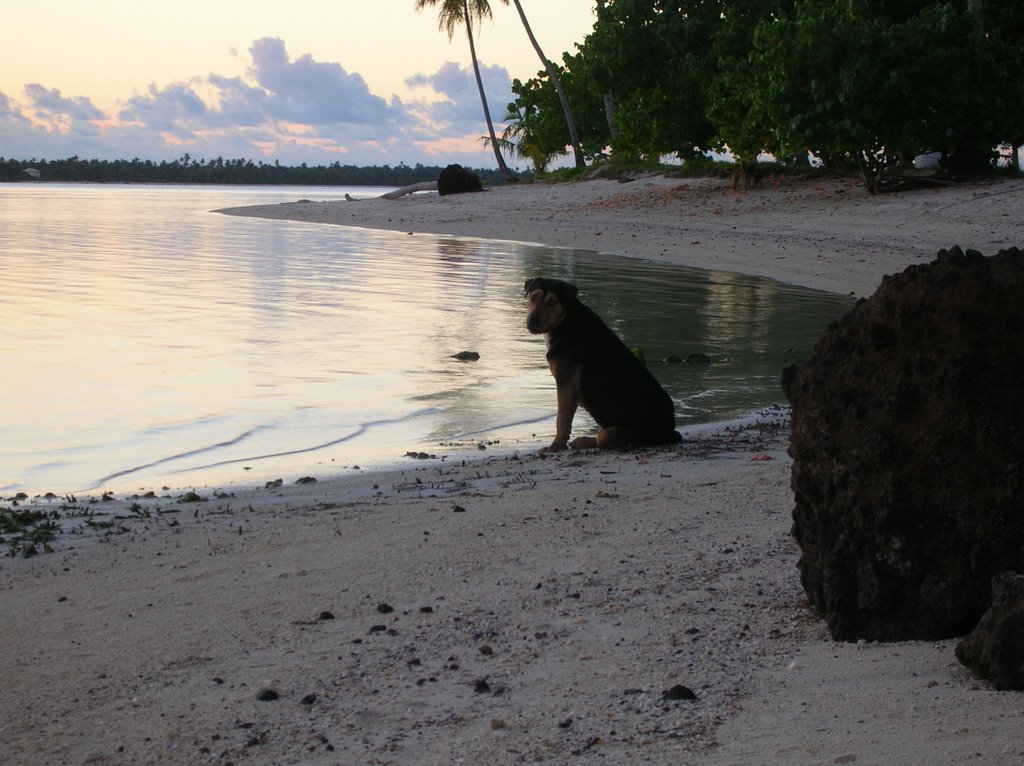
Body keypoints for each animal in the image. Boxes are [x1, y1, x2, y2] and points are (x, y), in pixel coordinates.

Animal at [524, 278, 684, 452]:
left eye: (552, 302)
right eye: (533, 297)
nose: (532, 322)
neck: (566, 322)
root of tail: (670, 431)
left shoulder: (566, 384)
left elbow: (561, 421)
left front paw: (555, 446)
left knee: (603, 438)